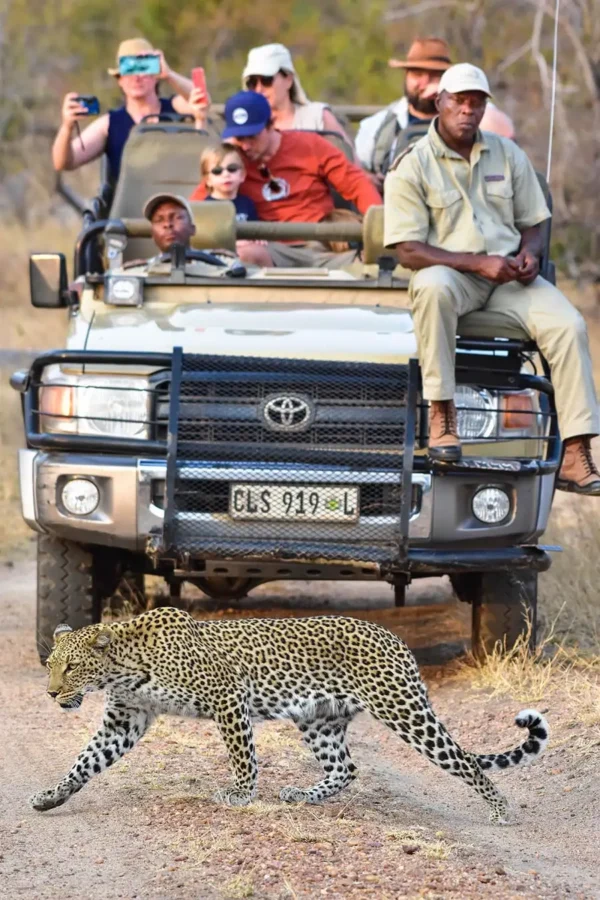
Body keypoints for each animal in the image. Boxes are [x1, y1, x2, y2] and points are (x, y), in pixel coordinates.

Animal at [31, 608, 549, 823]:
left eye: (71, 666)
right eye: (50, 664)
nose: (52, 694)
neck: (122, 667)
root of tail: (396, 639)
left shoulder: (226, 698)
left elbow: (243, 756)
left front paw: (240, 795)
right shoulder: (125, 719)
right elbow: (85, 762)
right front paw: (52, 796)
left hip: (402, 709)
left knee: (462, 759)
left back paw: (500, 809)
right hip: (319, 719)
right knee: (346, 767)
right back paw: (303, 795)